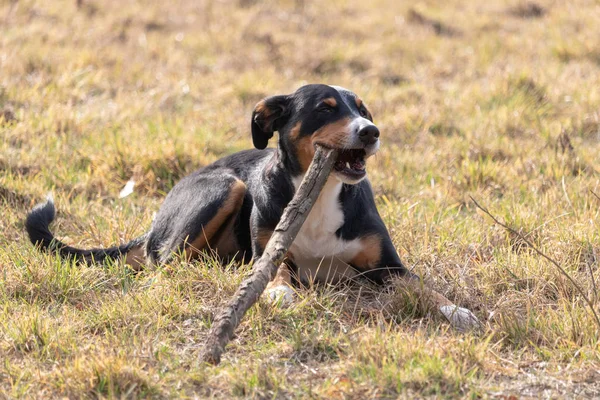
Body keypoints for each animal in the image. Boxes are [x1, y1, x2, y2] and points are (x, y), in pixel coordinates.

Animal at [27, 83, 478, 330]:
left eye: (363, 110)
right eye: (325, 108)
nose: (371, 131)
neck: (319, 195)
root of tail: (154, 224)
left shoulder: (388, 266)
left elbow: (424, 286)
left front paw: (456, 310)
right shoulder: (271, 253)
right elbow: (276, 273)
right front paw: (278, 293)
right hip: (227, 186)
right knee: (165, 263)